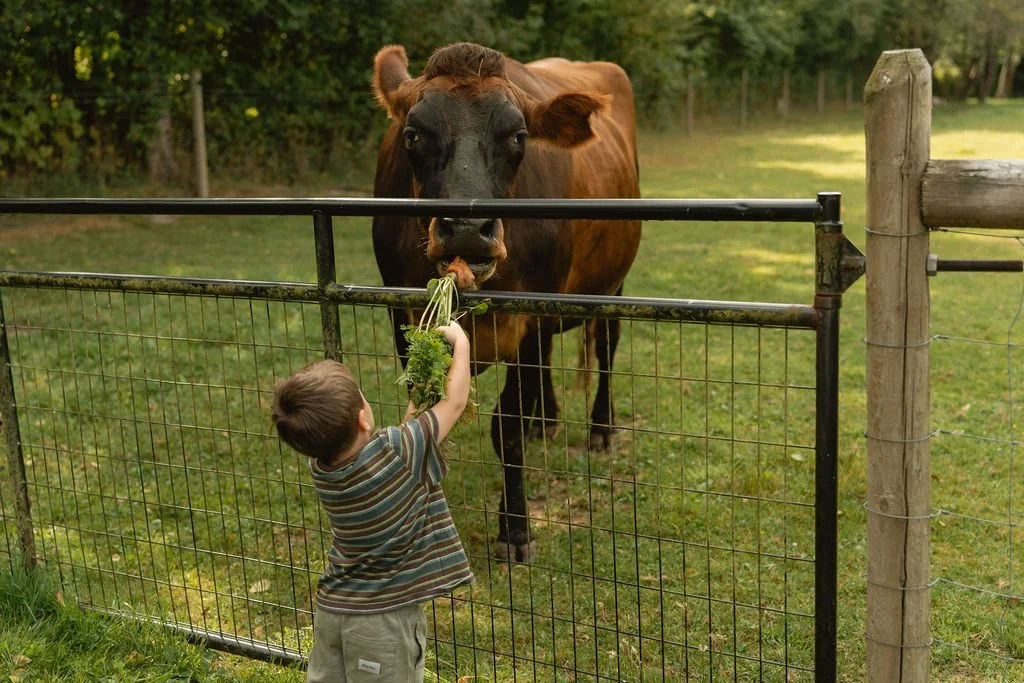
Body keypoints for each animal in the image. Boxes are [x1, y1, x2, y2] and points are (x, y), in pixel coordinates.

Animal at [371, 42, 641, 563]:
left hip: (610, 286)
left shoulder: (529, 313)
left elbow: (508, 427)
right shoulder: (402, 318)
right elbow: (429, 415)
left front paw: (515, 529)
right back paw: (548, 420)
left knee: (605, 347)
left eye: (518, 137)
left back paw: (600, 427)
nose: (466, 229)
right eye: (413, 134)